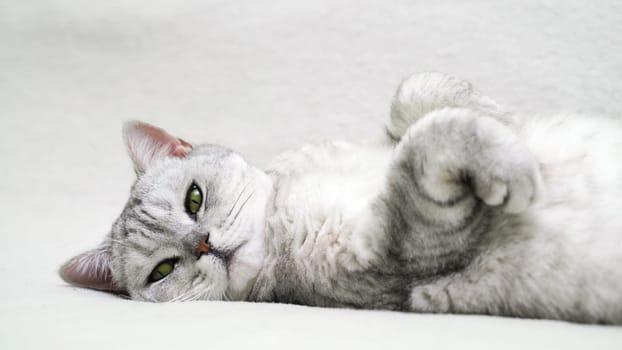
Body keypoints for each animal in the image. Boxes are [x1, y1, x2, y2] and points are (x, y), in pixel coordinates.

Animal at [58, 72, 622, 324]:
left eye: (193, 200)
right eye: (162, 271)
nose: (204, 244)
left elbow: (414, 96)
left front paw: (499, 121)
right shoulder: (402, 254)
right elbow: (424, 148)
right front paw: (513, 166)